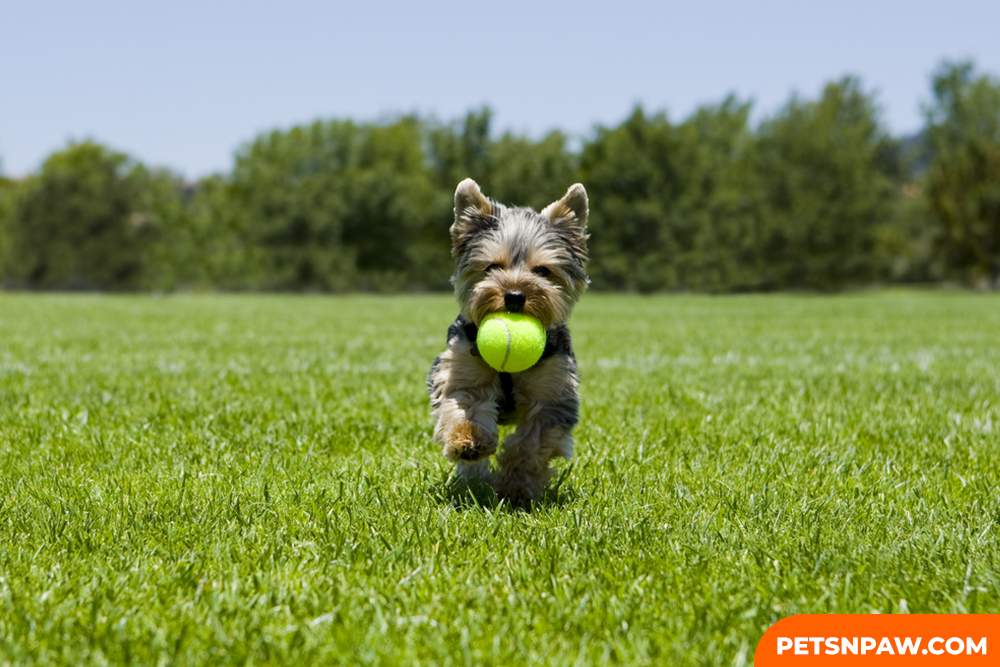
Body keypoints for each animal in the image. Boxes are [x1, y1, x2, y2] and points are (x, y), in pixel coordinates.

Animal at [428, 180, 584, 504]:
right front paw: (469, 441)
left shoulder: (553, 394)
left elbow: (530, 442)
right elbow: (468, 406)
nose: (514, 295)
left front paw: (516, 486)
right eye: (491, 267)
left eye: (542, 270)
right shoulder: (462, 371)